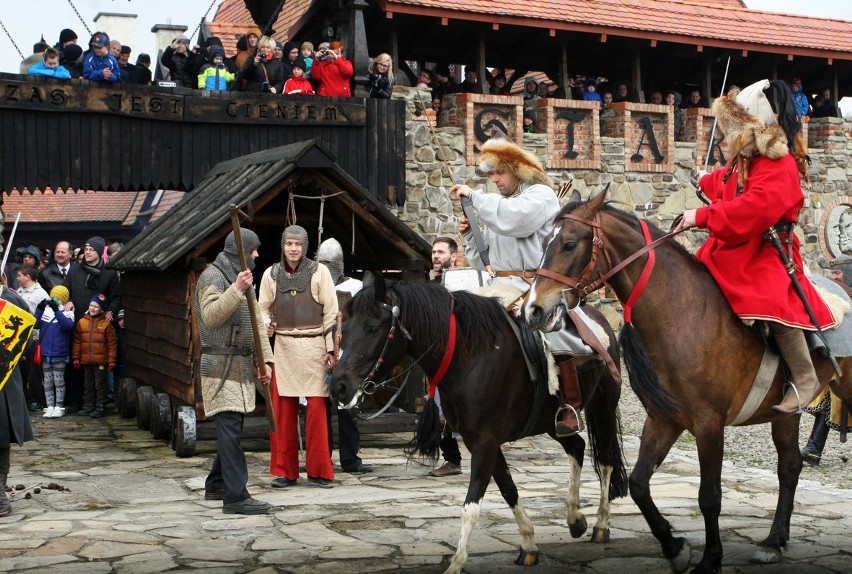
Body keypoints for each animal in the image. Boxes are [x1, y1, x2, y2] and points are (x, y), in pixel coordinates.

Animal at [332, 274, 624, 574]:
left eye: (373, 327)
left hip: (603, 407)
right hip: (551, 422)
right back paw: (575, 518)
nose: (339, 387)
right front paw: (528, 544)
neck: (467, 355)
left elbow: (471, 506)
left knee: (606, 460)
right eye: (345, 325)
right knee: (576, 446)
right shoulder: (480, 441)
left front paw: (456, 563)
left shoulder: (485, 442)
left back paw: (601, 524)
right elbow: (508, 489)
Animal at [524, 190, 848, 574]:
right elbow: (639, 484)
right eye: (546, 241)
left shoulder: (709, 425)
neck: (682, 312)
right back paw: (774, 540)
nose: (533, 311)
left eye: (570, 243)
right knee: (790, 466)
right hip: (786, 413)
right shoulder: (664, 420)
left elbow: (709, 496)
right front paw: (674, 546)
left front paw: (711, 558)